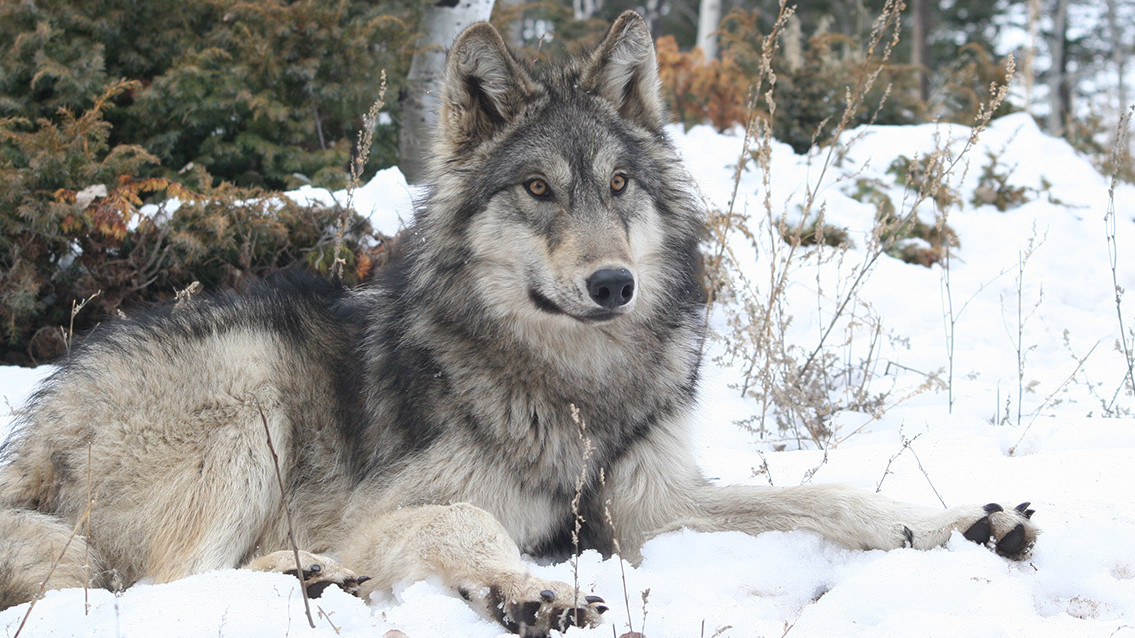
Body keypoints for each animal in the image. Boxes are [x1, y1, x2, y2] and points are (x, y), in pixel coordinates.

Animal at [0, 11, 1039, 635]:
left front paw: (962, 525)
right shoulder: (386, 509)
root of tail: (33, 435)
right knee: (161, 588)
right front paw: (533, 588)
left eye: (617, 186)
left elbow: (831, 498)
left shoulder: (645, 505)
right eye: (537, 189)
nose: (614, 283)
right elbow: (466, 518)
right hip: (249, 386)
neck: (574, 387)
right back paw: (314, 581)